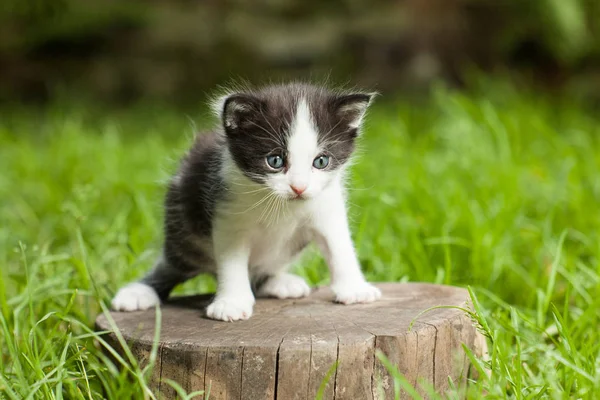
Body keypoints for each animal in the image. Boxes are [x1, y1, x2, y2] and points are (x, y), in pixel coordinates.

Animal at [110, 82, 382, 322]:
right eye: (275, 161)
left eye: (321, 161)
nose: (299, 187)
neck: (282, 205)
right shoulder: (226, 213)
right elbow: (231, 262)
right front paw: (231, 302)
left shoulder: (327, 207)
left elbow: (339, 247)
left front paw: (355, 288)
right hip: (183, 230)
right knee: (173, 265)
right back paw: (137, 292)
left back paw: (279, 282)